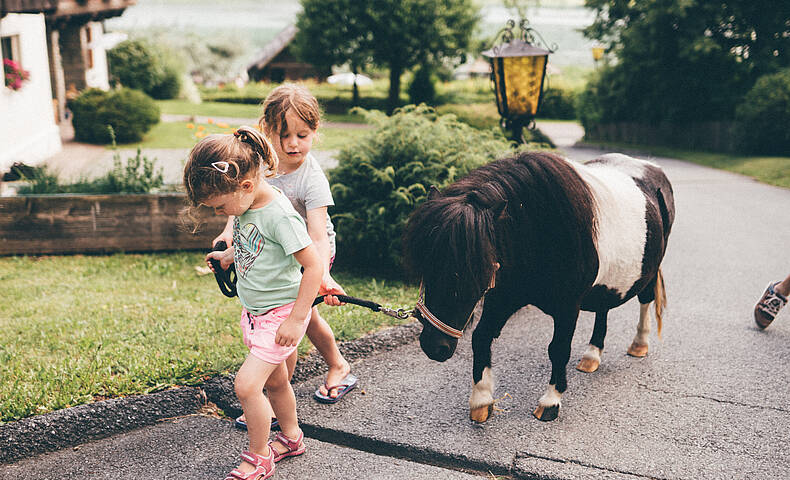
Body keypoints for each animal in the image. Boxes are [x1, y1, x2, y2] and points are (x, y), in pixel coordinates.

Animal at [406, 152, 676, 422]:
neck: (540, 232)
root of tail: (651, 167)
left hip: (651, 269)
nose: (434, 347)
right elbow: (481, 337)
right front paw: (481, 401)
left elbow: (558, 349)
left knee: (645, 299)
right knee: (603, 308)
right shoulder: (504, 297)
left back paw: (639, 344)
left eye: (475, 270)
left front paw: (550, 402)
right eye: (426, 266)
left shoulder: (568, 306)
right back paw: (592, 355)